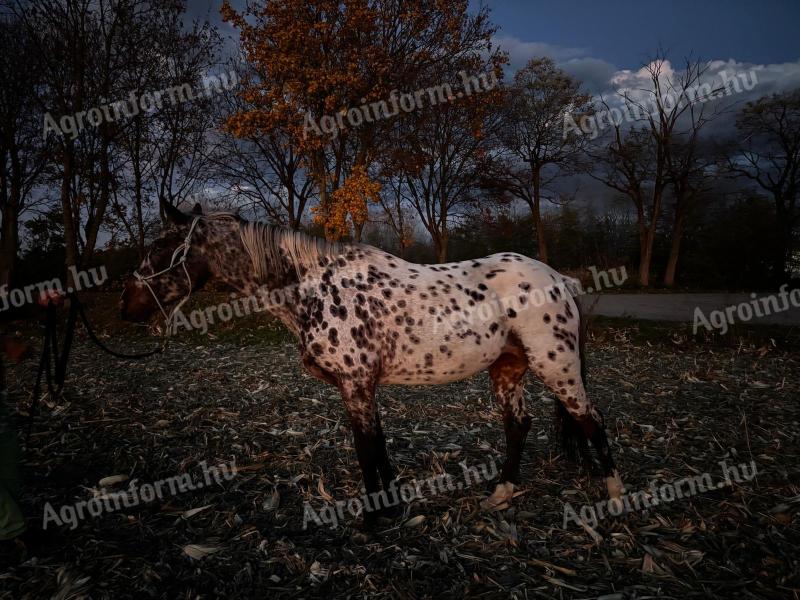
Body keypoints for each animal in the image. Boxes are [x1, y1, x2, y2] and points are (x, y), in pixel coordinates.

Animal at [120, 204, 625, 525]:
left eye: (162, 250)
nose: (130, 307)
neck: (314, 287)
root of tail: (559, 278)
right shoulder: (363, 387)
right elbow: (379, 446)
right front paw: (392, 505)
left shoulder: (356, 384)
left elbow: (366, 449)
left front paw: (374, 517)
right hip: (507, 369)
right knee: (519, 425)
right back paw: (500, 496)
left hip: (557, 367)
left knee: (591, 420)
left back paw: (616, 498)